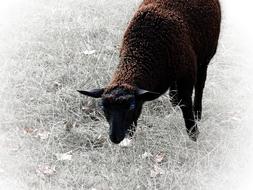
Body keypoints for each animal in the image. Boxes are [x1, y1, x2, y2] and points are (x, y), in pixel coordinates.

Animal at [78, 0, 220, 143]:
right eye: (103, 107)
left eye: (131, 107)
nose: (115, 138)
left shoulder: (187, 74)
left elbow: (186, 104)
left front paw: (193, 134)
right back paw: (174, 101)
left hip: (205, 56)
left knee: (200, 84)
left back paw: (197, 113)